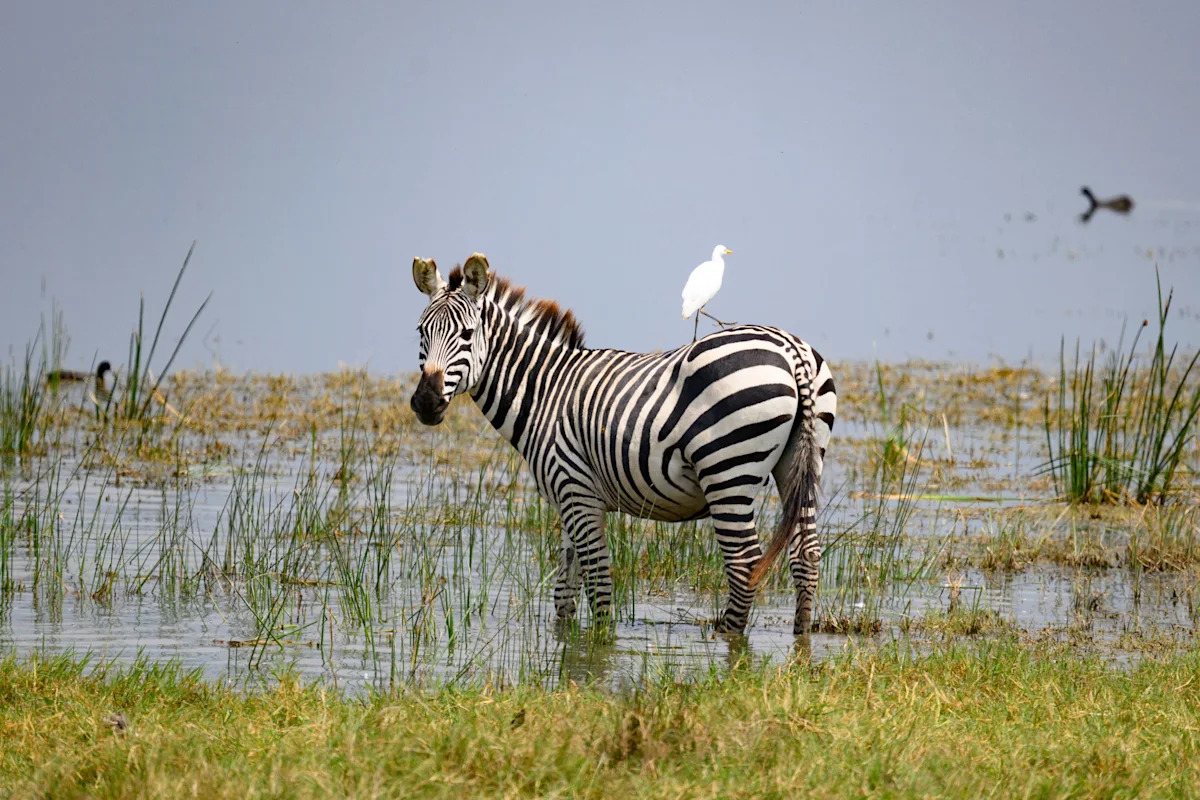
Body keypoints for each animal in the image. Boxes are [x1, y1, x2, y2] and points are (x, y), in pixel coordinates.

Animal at [409, 253, 837, 636]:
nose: (426, 403)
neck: (546, 391)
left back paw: (728, 642)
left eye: (467, 335)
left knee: (744, 562)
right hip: (801, 462)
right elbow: (565, 592)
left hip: (727, 471)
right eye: (420, 332)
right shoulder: (571, 498)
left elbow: (598, 582)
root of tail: (790, 351)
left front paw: (599, 647)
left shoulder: (576, 490)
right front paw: (567, 646)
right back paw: (800, 642)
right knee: (806, 554)